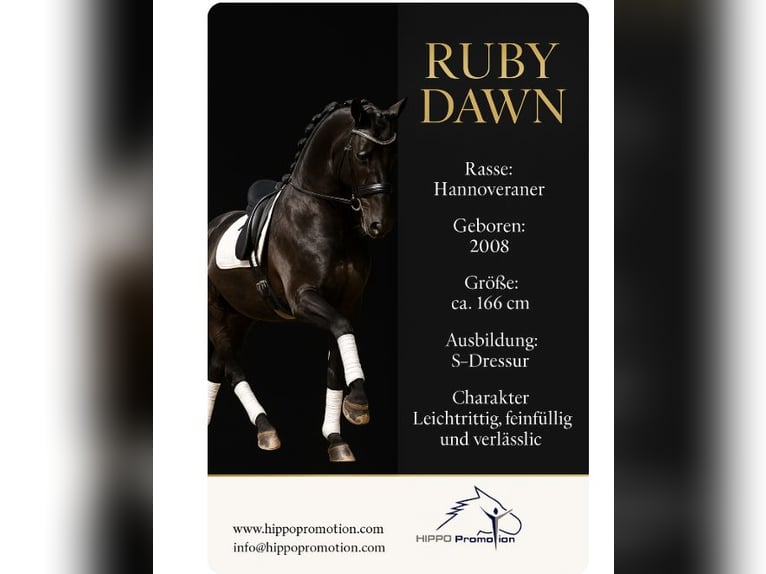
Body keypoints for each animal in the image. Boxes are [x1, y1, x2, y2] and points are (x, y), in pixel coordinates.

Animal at [207, 98, 406, 463]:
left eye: (393, 156)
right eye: (362, 155)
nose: (379, 224)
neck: (325, 218)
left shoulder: (348, 303)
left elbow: (336, 362)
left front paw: (337, 437)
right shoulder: (304, 299)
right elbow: (341, 330)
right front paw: (359, 403)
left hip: (241, 315)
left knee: (216, 366)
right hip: (215, 313)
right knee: (231, 367)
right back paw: (266, 428)